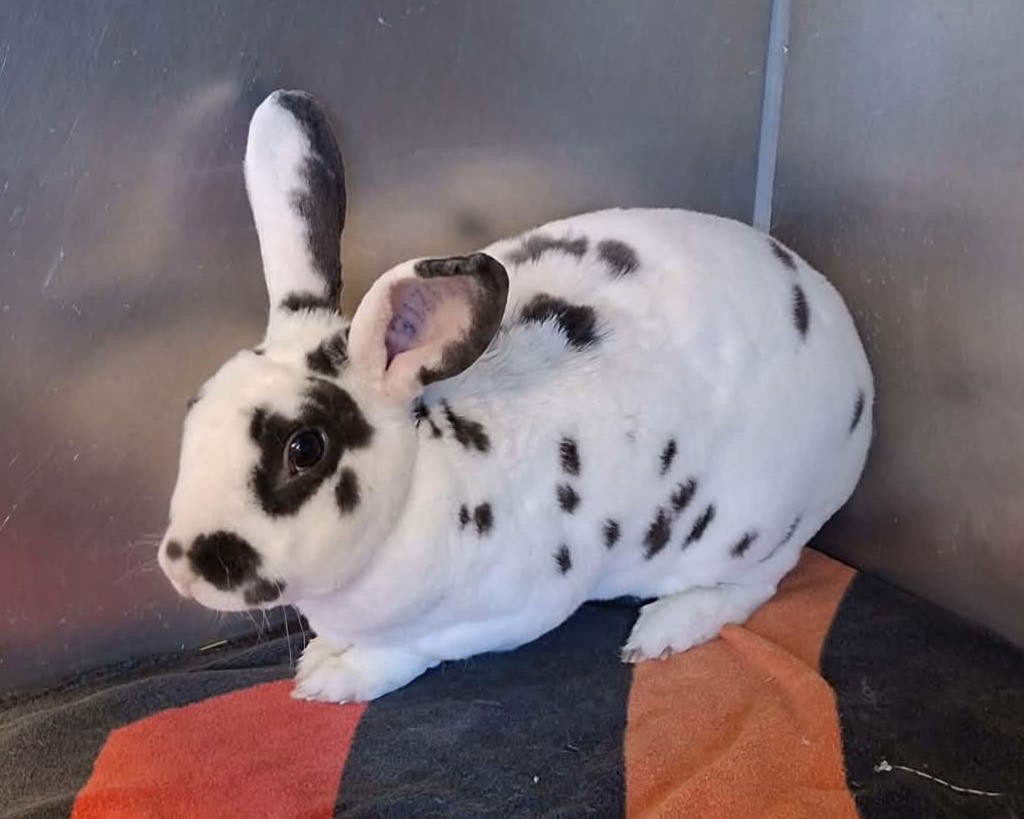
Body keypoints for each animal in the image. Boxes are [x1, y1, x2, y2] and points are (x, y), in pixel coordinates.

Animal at [158, 89, 873, 703]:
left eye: (305, 448)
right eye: (194, 408)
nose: (181, 568)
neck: (432, 475)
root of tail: (857, 364)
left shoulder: (508, 613)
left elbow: (410, 653)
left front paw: (332, 680)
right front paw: (320, 654)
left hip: (754, 531)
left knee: (753, 588)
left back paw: (663, 629)